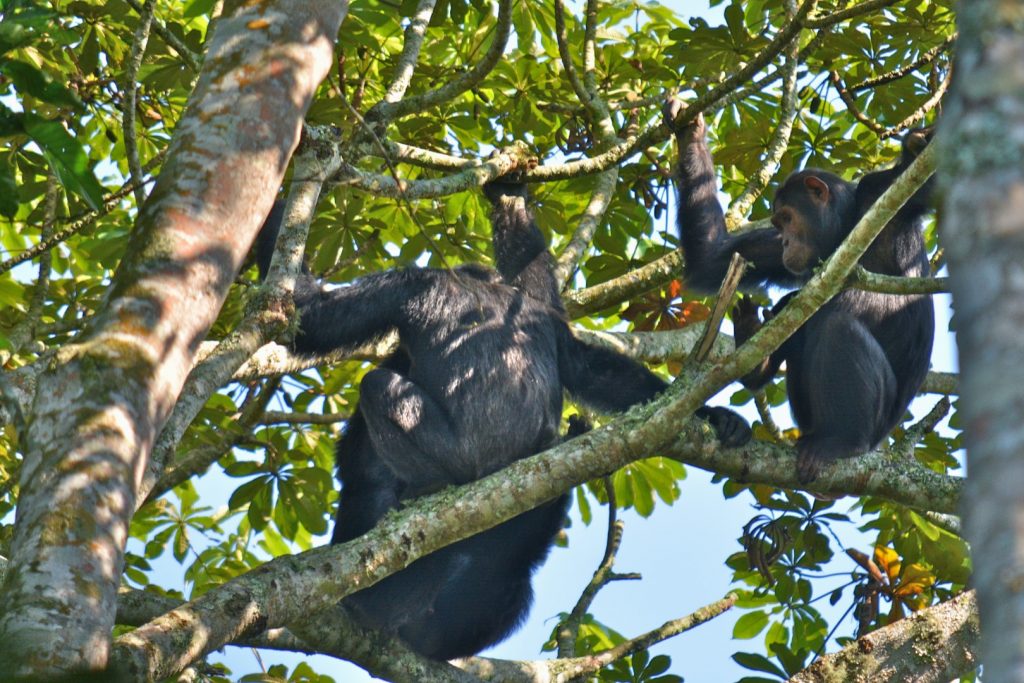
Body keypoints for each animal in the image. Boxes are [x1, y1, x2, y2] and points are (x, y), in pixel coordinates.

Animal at [253, 163, 753, 655]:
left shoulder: (407, 283)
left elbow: (313, 320)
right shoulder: (541, 314)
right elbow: (589, 364)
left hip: (458, 459)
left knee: (378, 388)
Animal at [663, 98, 937, 485]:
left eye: (789, 218)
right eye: (778, 224)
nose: (786, 241)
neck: (847, 225)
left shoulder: (883, 191)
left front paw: (916, 145)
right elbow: (712, 259)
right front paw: (690, 132)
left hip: (873, 430)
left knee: (836, 325)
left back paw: (841, 442)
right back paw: (756, 356)